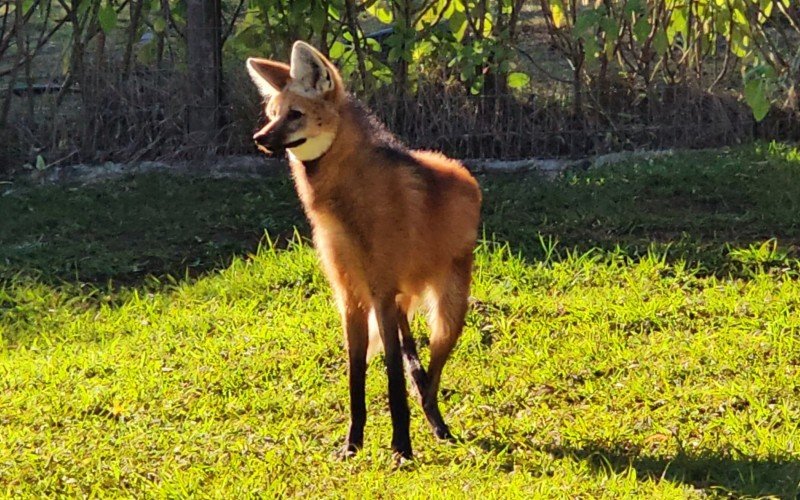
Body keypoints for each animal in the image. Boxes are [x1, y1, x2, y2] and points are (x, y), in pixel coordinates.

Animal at [245, 41, 482, 458]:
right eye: (272, 115)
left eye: (295, 115)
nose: (260, 137)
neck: (342, 206)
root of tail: (464, 173)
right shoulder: (352, 296)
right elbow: (357, 375)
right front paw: (352, 444)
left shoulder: (381, 292)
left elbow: (392, 377)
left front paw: (402, 447)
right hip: (404, 302)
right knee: (413, 356)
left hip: (450, 310)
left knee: (431, 372)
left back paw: (437, 423)